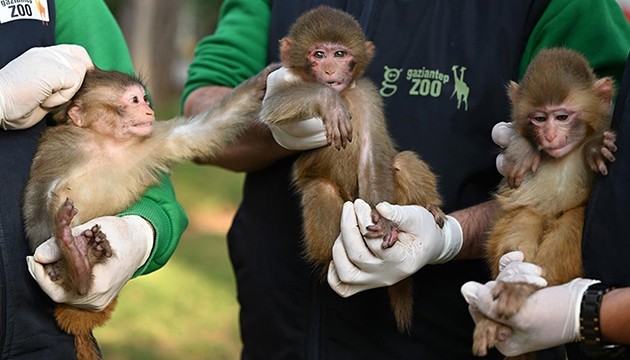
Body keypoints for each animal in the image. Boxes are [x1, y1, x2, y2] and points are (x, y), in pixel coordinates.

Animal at [24, 66, 274, 358]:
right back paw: (75, 262)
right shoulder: (61, 148)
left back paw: (83, 264)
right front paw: (51, 264)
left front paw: (262, 81)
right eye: (134, 100)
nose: (148, 110)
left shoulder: (151, 140)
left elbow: (197, 132)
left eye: (144, 98)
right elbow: (41, 193)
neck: (106, 143)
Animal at [474, 47, 616, 358]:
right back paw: (511, 289)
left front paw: (595, 146)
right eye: (540, 119)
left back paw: (523, 289)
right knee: (524, 218)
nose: (550, 135)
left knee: (572, 224)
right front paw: (524, 149)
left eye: (562, 116)